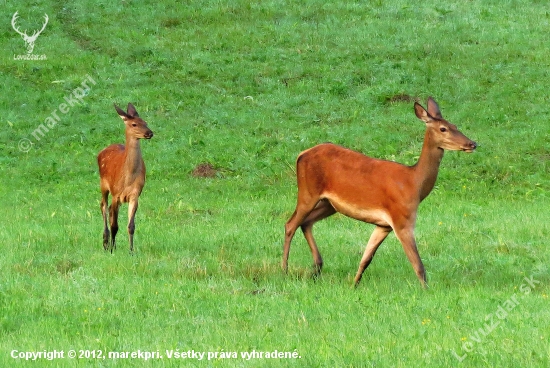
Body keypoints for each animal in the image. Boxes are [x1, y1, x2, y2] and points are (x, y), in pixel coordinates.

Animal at [98, 103, 154, 253]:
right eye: (134, 124)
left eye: (145, 122)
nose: (149, 133)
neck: (128, 177)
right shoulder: (116, 193)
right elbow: (115, 225)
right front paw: (112, 250)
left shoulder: (135, 194)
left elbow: (131, 226)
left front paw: (131, 251)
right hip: (103, 185)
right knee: (103, 206)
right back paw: (105, 241)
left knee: (109, 209)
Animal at [284, 97, 478, 288]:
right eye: (443, 128)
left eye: (455, 125)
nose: (472, 143)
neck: (413, 183)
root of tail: (301, 155)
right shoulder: (402, 220)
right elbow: (418, 265)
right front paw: (427, 291)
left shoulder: (383, 225)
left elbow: (366, 258)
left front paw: (354, 286)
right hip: (308, 192)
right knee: (290, 224)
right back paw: (284, 269)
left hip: (329, 204)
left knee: (306, 222)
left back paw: (316, 268)